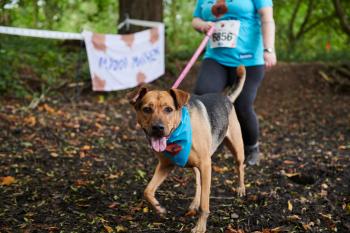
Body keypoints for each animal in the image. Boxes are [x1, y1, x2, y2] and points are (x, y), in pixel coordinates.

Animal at [128, 64, 246, 232]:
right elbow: (147, 191)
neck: (177, 132)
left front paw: (200, 227)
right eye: (147, 109)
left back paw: (241, 188)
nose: (158, 128)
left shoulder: (206, 165)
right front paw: (159, 208)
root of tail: (227, 98)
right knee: (198, 182)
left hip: (237, 149)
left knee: (240, 166)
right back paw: (194, 203)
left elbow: (205, 204)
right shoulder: (165, 165)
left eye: (168, 109)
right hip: (197, 165)